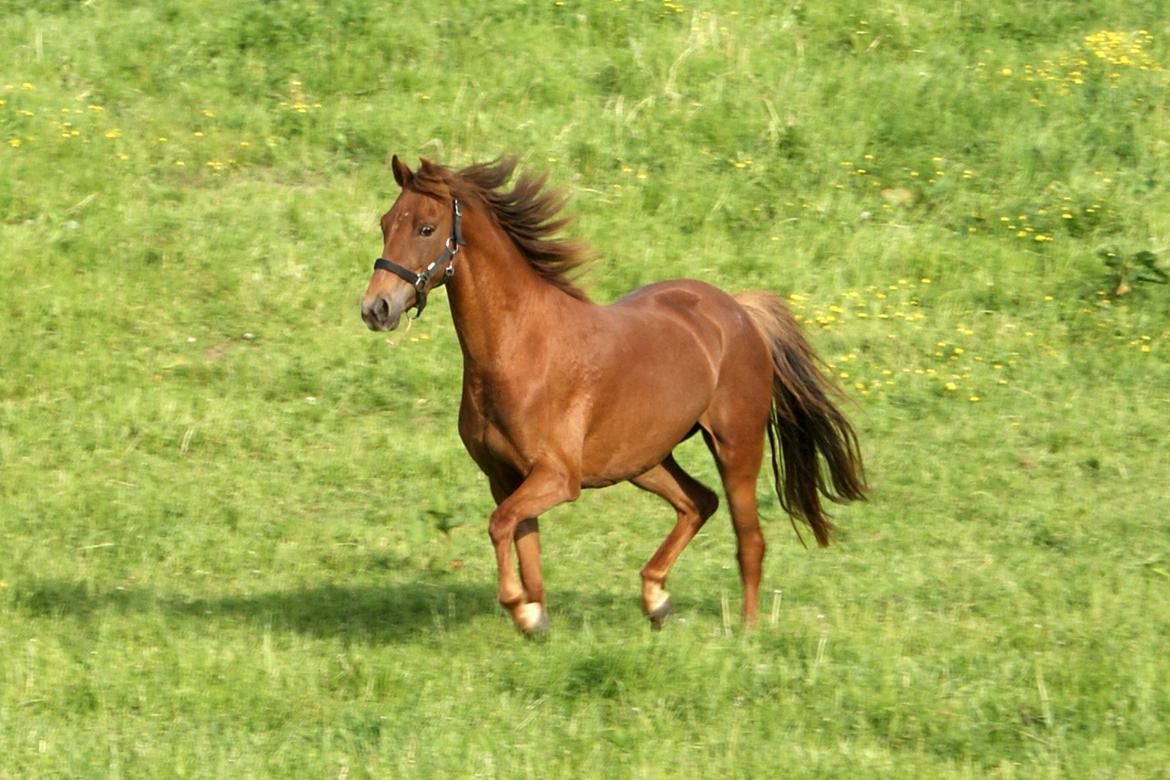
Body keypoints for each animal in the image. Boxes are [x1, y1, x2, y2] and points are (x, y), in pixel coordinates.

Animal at [360, 155, 866, 636]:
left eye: (426, 228)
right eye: (386, 223)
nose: (376, 309)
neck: (519, 350)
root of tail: (738, 310)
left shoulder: (557, 478)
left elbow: (500, 525)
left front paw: (521, 610)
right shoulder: (505, 478)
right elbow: (525, 546)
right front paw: (535, 619)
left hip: (735, 447)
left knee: (749, 541)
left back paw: (746, 631)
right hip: (643, 461)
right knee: (698, 502)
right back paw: (656, 600)